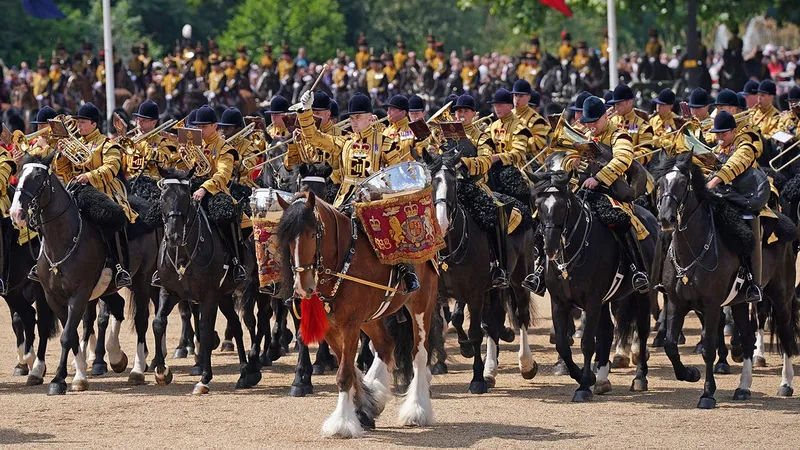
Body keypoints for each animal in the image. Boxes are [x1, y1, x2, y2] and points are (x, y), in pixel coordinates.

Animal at [9, 155, 159, 394]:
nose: (16, 214)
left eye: (38, 178)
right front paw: (76, 375)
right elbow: (71, 335)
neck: (61, 243)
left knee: (141, 320)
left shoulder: (78, 295)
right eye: (20, 175)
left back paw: (136, 370)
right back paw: (115, 357)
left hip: (142, 280)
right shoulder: (53, 297)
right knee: (116, 308)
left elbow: (67, 335)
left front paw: (60, 380)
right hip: (108, 287)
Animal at [151, 166, 262, 394]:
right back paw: (244, 372)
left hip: (254, 286)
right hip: (225, 295)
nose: (174, 236)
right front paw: (162, 372)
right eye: (163, 197)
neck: (183, 254)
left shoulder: (208, 297)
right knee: (236, 324)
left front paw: (204, 377)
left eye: (186, 197)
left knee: (253, 320)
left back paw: (254, 367)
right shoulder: (169, 291)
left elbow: (205, 330)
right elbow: (158, 322)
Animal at [276, 192, 438, 438]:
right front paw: (364, 407)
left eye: (312, 234)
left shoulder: (350, 325)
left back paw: (417, 410)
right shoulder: (332, 328)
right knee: (385, 345)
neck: (341, 263)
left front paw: (342, 423)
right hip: (372, 318)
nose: (303, 288)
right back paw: (377, 392)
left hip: (421, 306)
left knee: (419, 354)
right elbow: (350, 370)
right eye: (288, 239)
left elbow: (345, 373)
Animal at [532, 163, 656, 402]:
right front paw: (584, 376)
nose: (550, 248)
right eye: (538, 205)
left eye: (563, 205)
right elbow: (562, 345)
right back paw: (602, 379)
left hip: (643, 293)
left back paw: (639, 378)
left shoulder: (591, 301)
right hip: (605, 300)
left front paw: (582, 388)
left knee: (643, 329)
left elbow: (588, 342)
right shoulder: (559, 302)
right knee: (607, 331)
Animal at [652, 152, 796, 408]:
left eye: (683, 183)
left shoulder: (711, 305)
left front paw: (707, 393)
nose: (666, 219)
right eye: (659, 183)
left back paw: (786, 384)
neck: (693, 249)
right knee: (748, 339)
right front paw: (689, 374)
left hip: (781, 296)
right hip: (739, 302)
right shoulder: (677, 302)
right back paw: (743, 387)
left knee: (786, 333)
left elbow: (708, 347)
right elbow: (669, 344)